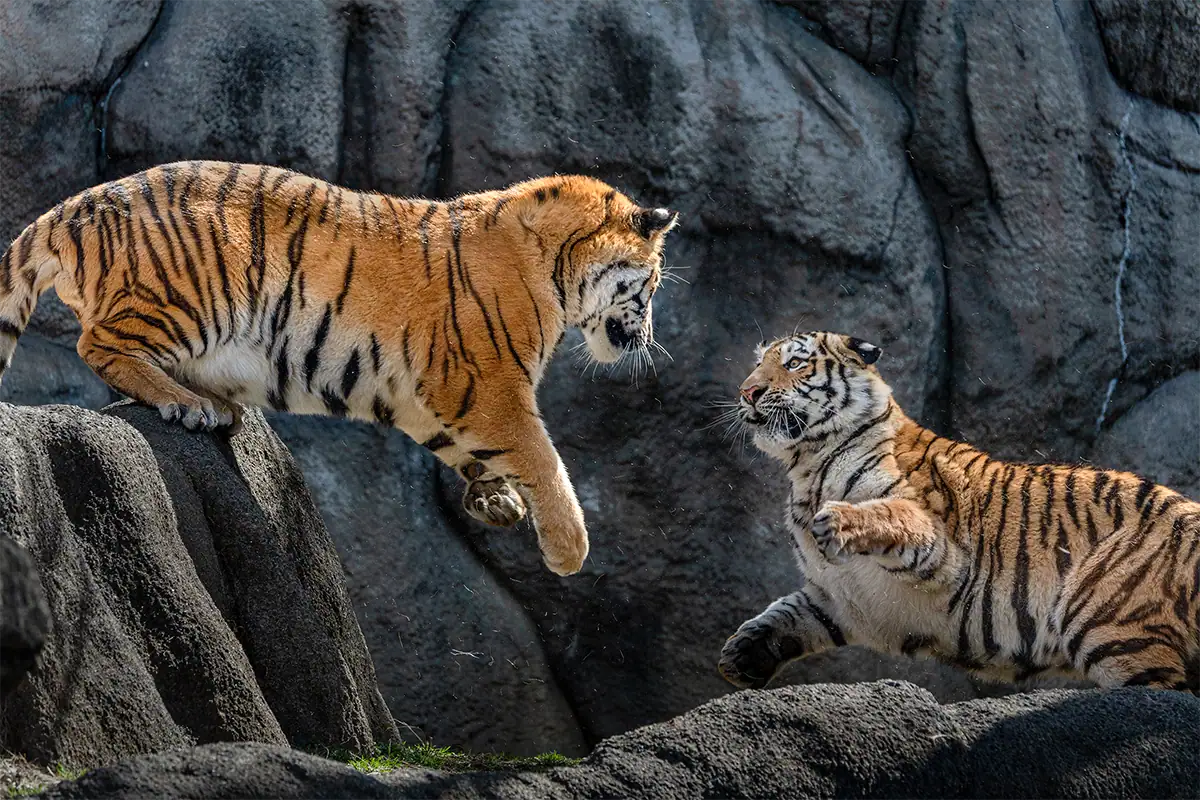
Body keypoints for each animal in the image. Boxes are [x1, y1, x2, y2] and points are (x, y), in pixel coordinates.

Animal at [0, 161, 679, 576]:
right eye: (650, 285)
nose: (647, 338)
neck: (556, 271)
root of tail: (74, 206)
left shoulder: (422, 392)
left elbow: (468, 448)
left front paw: (496, 500)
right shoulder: (487, 383)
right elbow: (540, 454)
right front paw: (569, 549)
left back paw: (215, 403)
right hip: (186, 291)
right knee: (99, 345)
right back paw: (190, 404)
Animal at [717, 330, 1200, 691]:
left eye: (796, 363)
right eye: (759, 364)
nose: (748, 391)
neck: (807, 468)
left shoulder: (942, 549)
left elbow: (891, 514)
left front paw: (837, 521)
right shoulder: (840, 595)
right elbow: (789, 613)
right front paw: (740, 654)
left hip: (1111, 621)